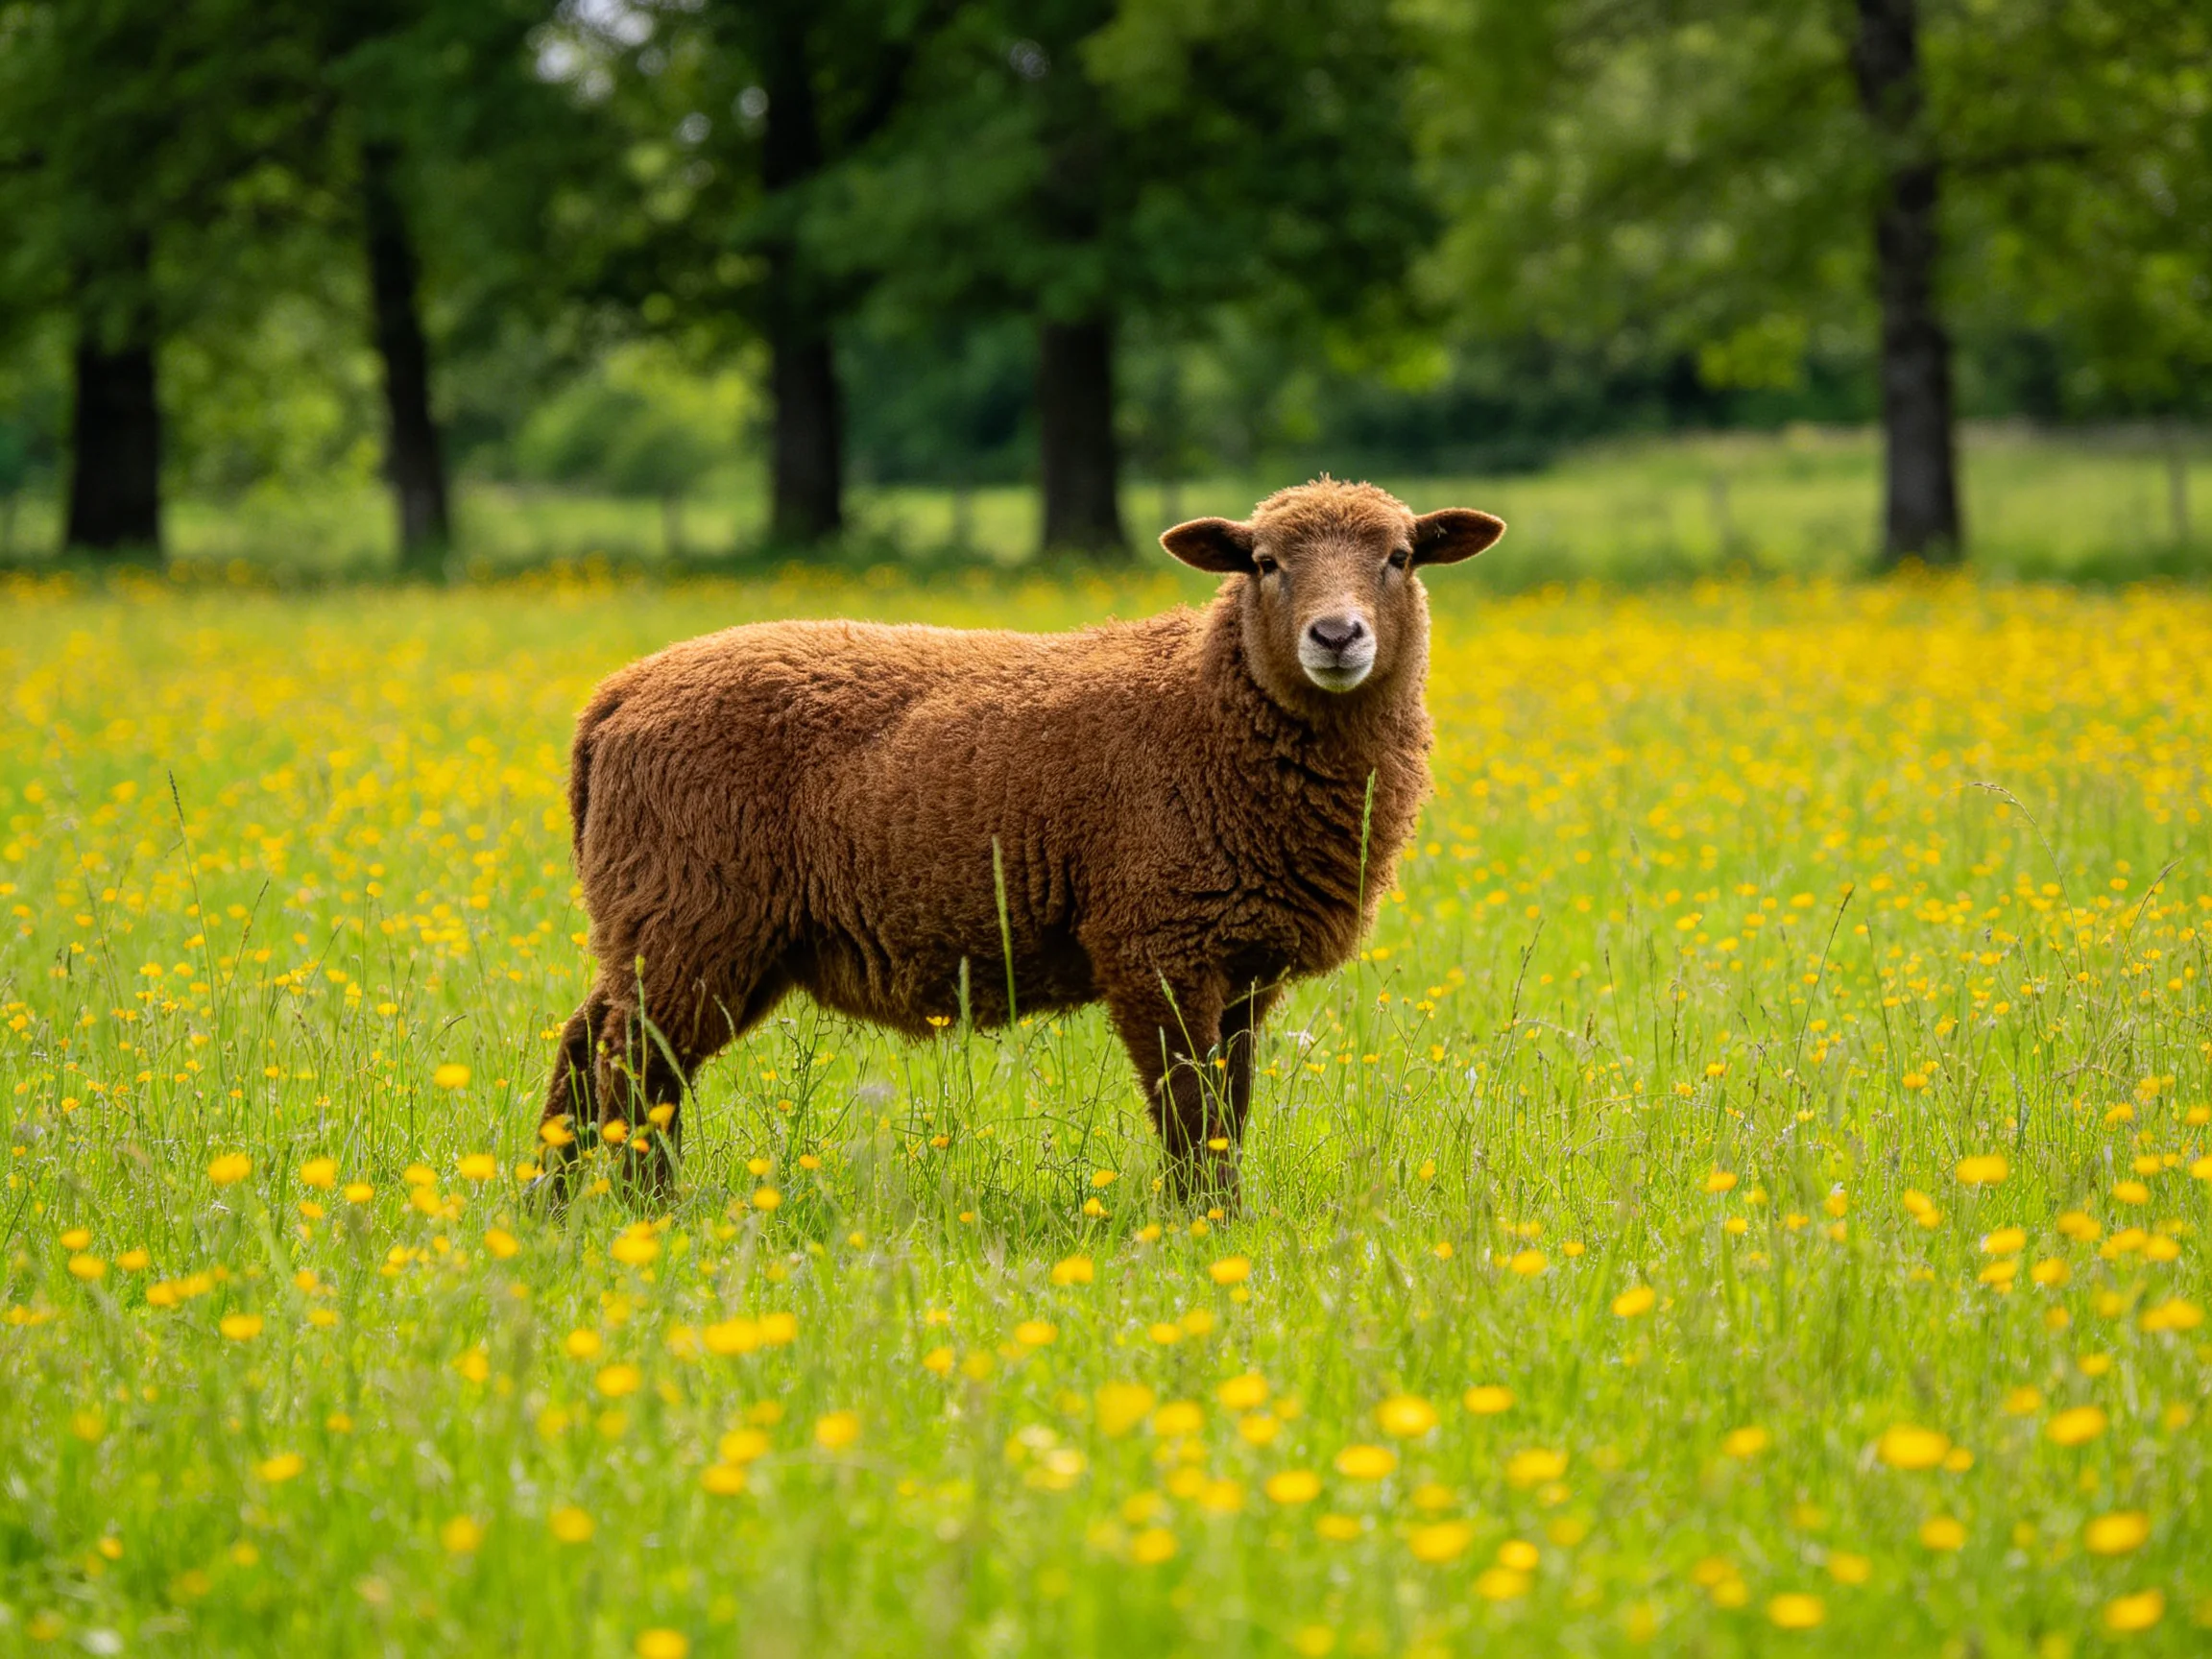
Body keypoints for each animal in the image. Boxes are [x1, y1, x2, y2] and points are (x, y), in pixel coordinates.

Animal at [536, 478, 1505, 1208]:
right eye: (1264, 562)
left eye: (1400, 556)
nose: (1337, 637)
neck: (1207, 704)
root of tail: (617, 696)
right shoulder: (1156, 943)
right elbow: (1189, 1108)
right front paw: (1201, 1230)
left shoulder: (1243, 964)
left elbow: (1229, 1107)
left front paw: (1224, 1220)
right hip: (692, 915)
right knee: (634, 1065)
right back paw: (641, 1210)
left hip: (674, 922)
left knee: (589, 1044)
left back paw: (551, 1202)